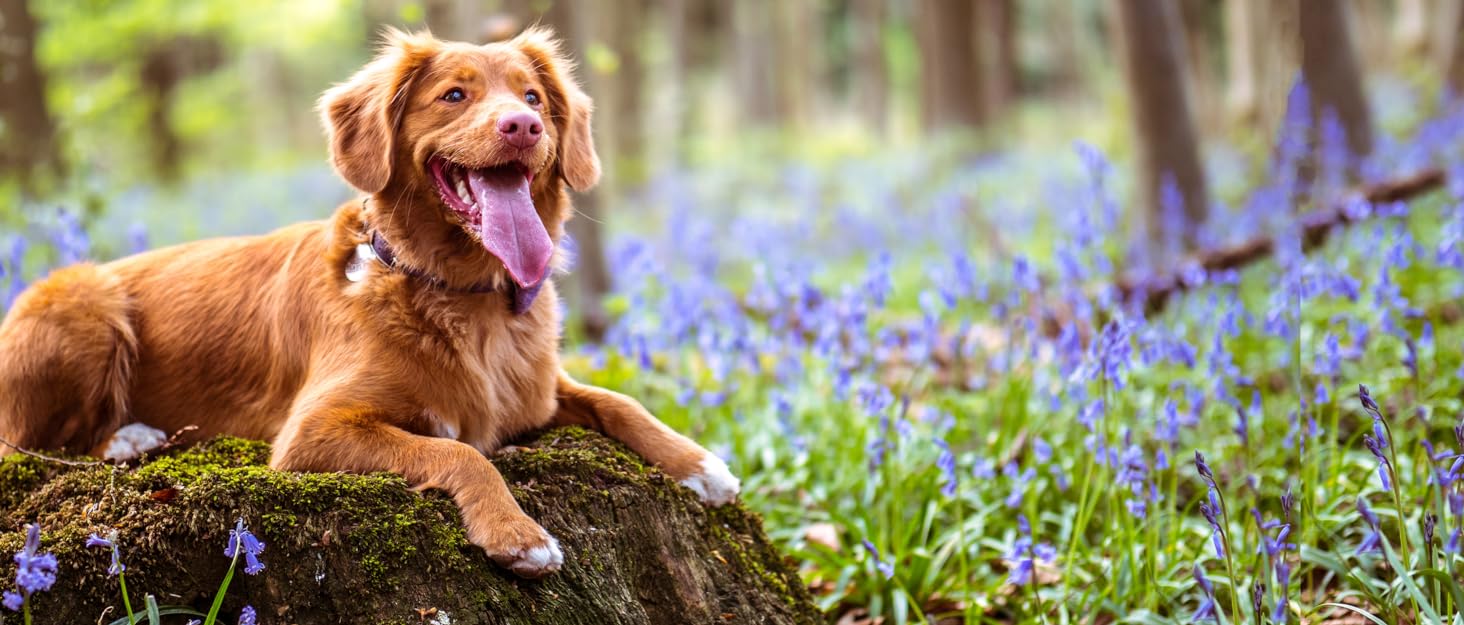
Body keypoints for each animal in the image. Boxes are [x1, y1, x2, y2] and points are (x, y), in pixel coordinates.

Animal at [0, 28, 737, 576]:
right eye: (454, 94)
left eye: (533, 95)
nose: (523, 125)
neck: (461, 297)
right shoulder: (310, 433)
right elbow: (459, 452)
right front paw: (516, 533)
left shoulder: (535, 392)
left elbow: (619, 400)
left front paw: (699, 463)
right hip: (81, 301)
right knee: (31, 444)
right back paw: (129, 437)